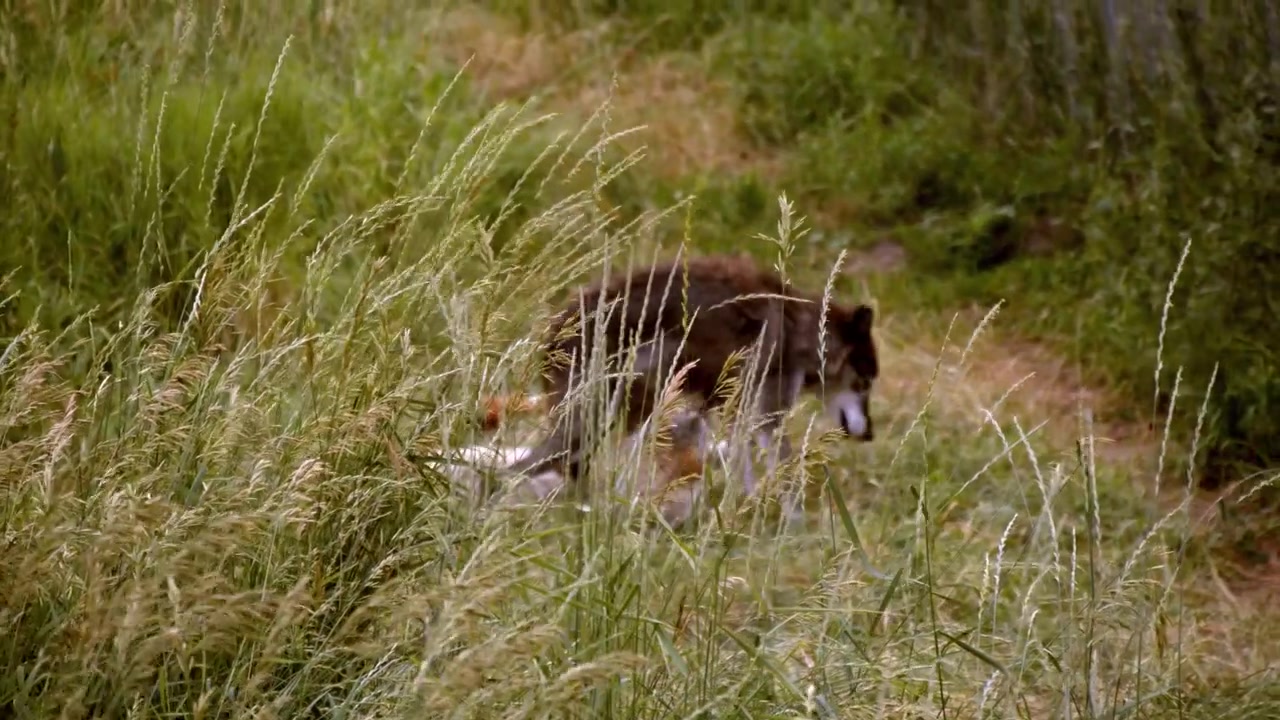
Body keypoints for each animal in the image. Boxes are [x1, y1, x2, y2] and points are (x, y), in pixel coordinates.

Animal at [495, 254, 879, 511]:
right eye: (865, 382)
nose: (871, 435)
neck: (800, 331)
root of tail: (553, 335)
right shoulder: (762, 413)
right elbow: (779, 472)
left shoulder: (733, 410)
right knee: (524, 470)